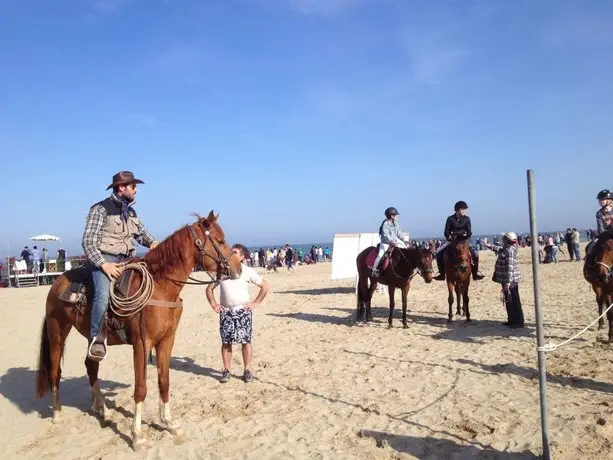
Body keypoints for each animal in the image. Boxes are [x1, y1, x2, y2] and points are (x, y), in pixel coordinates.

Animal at [34, 211, 241, 450]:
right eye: (219, 241)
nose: (238, 267)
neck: (161, 287)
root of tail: (57, 281)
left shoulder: (167, 341)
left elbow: (164, 382)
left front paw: (168, 423)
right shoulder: (142, 343)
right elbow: (141, 388)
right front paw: (137, 435)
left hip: (91, 336)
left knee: (91, 366)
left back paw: (103, 411)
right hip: (57, 331)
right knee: (55, 371)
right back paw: (57, 414)